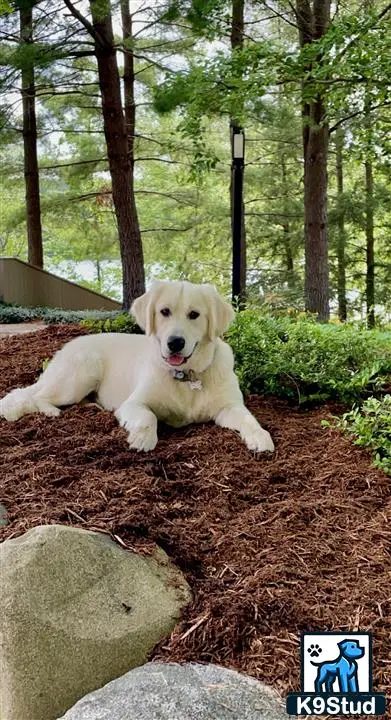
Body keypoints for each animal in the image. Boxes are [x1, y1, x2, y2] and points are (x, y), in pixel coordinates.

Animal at [0, 280, 274, 452]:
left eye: (194, 315)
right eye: (164, 311)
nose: (175, 343)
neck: (186, 376)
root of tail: (70, 344)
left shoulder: (229, 407)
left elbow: (249, 419)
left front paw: (261, 437)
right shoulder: (134, 403)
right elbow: (147, 417)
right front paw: (142, 438)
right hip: (80, 375)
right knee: (39, 396)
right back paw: (51, 412)